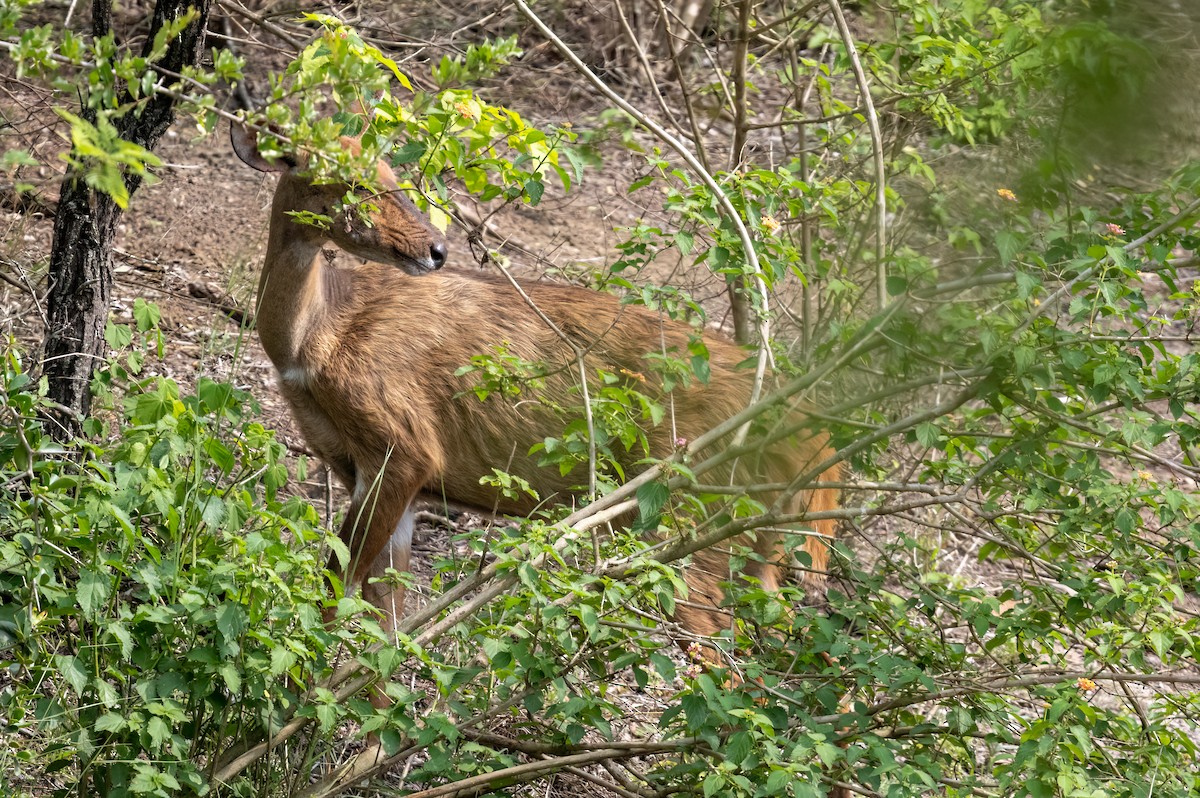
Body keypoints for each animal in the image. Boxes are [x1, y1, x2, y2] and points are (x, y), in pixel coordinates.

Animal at [232, 123, 840, 648]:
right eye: (350, 179)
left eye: (391, 175)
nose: (436, 249)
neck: (316, 339)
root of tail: (815, 434)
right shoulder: (371, 472)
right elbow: (386, 627)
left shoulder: (403, 448)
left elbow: (334, 597)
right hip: (758, 538)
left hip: (693, 517)